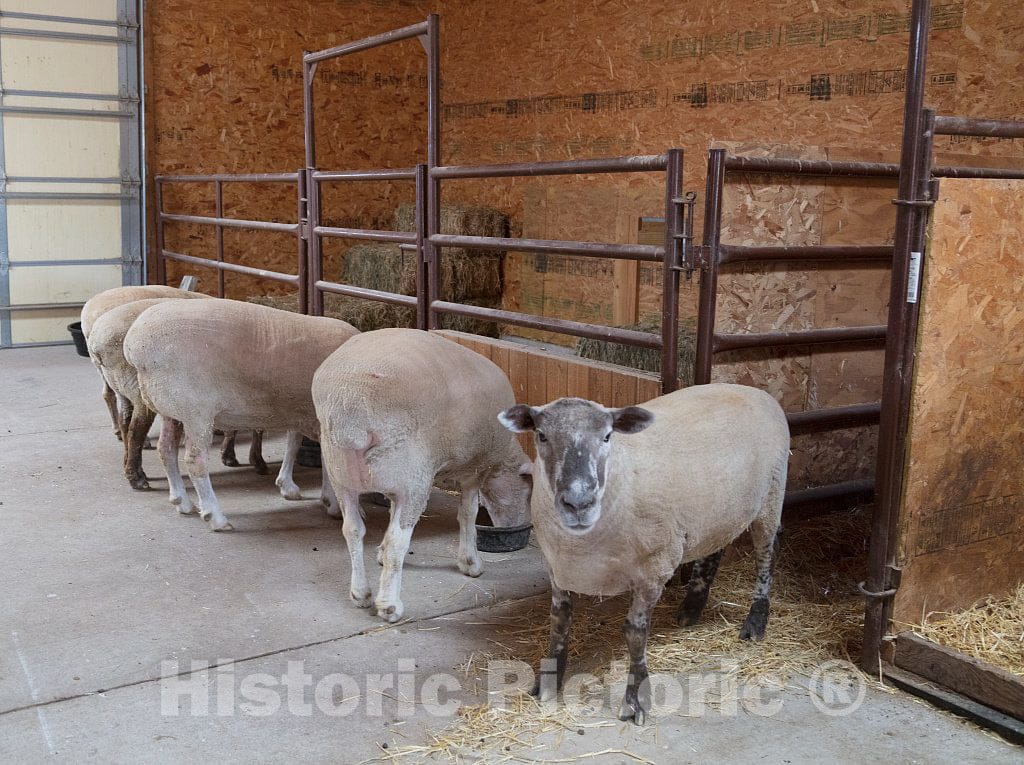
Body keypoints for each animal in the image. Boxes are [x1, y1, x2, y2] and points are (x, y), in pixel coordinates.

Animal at [123, 298, 359, 530]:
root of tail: (134, 346)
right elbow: (330, 462)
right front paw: (333, 504)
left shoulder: (298, 411)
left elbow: (294, 442)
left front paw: (288, 485)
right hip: (196, 411)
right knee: (194, 461)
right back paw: (216, 517)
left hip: (171, 410)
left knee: (166, 450)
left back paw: (182, 501)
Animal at [312, 328, 533, 623]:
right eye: (527, 490)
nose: (523, 525)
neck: (502, 458)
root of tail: (351, 407)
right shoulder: (474, 470)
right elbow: (468, 514)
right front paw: (470, 562)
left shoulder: (395, 485)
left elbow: (388, 514)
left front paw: (379, 554)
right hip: (411, 476)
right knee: (398, 540)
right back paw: (389, 605)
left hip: (343, 474)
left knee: (353, 530)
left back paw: (361, 593)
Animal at [499, 383, 789, 725]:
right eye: (541, 435)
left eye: (607, 436)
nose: (579, 502)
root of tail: (755, 390)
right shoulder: (558, 569)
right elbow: (559, 623)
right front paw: (548, 680)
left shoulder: (654, 568)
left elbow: (635, 633)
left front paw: (636, 700)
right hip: (714, 514)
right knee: (713, 551)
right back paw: (692, 607)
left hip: (771, 497)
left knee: (766, 555)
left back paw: (756, 622)